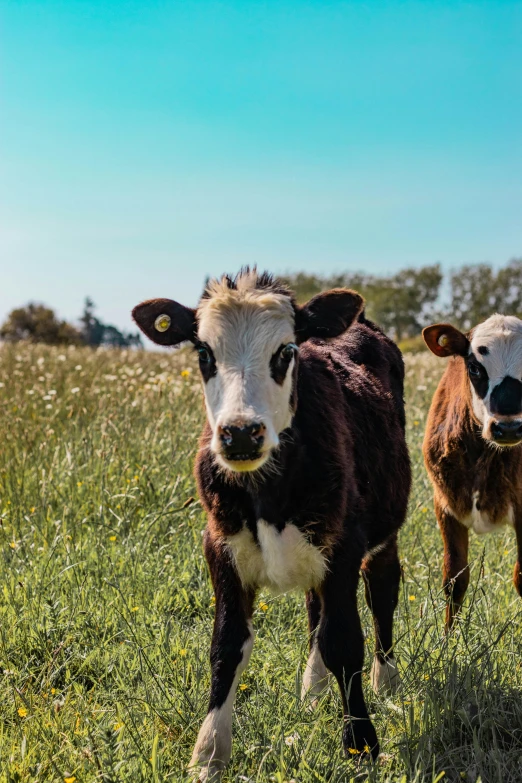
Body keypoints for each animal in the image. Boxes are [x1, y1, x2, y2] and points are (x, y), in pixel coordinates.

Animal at [132, 268, 408, 776]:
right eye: (204, 353)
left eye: (285, 352)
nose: (241, 432)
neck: (268, 495)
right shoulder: (220, 547)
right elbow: (227, 646)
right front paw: (208, 754)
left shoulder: (343, 545)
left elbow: (345, 642)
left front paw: (361, 744)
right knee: (316, 610)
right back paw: (312, 689)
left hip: (384, 532)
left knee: (382, 596)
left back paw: (388, 681)